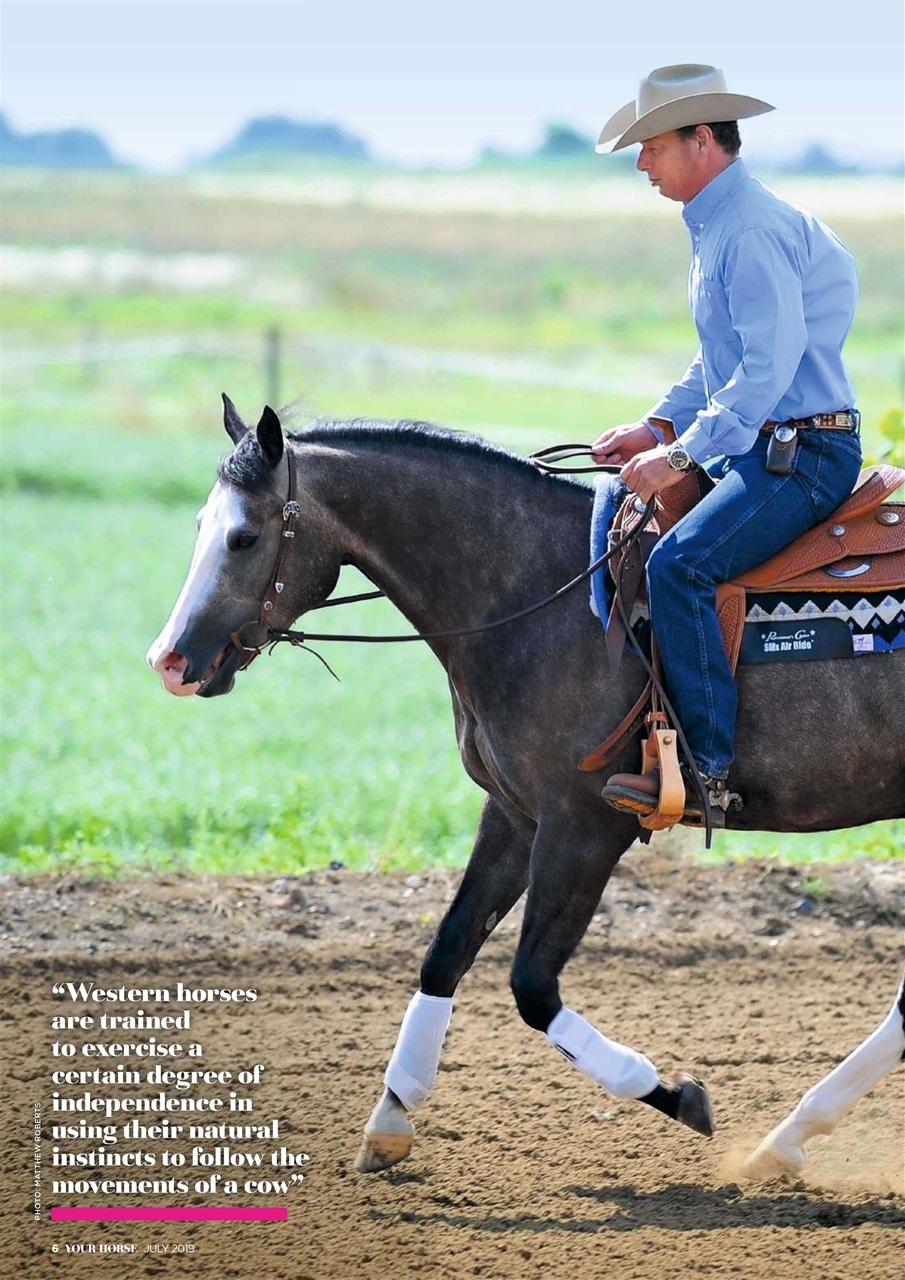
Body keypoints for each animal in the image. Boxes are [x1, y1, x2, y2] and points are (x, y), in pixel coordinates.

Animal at [146, 397, 905, 1179]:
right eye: (200, 525)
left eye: (243, 536)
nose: (167, 661)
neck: (534, 593)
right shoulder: (514, 815)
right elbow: (447, 948)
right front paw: (391, 1116)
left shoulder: (583, 830)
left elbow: (533, 988)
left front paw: (674, 1093)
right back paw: (786, 1139)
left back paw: (785, 1136)